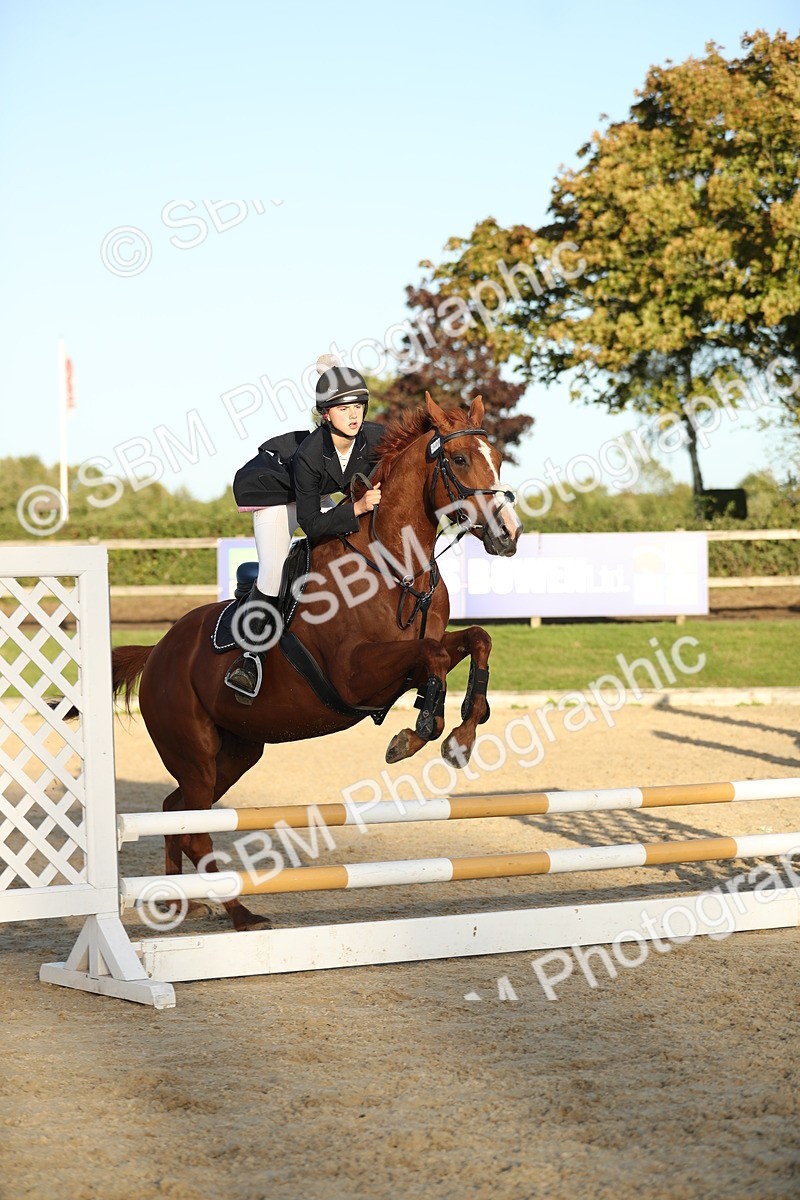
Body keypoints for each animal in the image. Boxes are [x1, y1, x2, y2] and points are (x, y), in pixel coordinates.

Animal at [113, 393, 522, 929]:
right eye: (457, 460)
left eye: (498, 458)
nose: (508, 535)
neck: (393, 564)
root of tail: (158, 650)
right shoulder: (354, 675)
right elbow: (432, 658)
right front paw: (416, 731)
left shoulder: (410, 657)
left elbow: (476, 640)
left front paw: (463, 735)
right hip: (195, 754)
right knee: (196, 828)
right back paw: (240, 914)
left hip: (238, 753)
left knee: (174, 810)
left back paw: (183, 903)